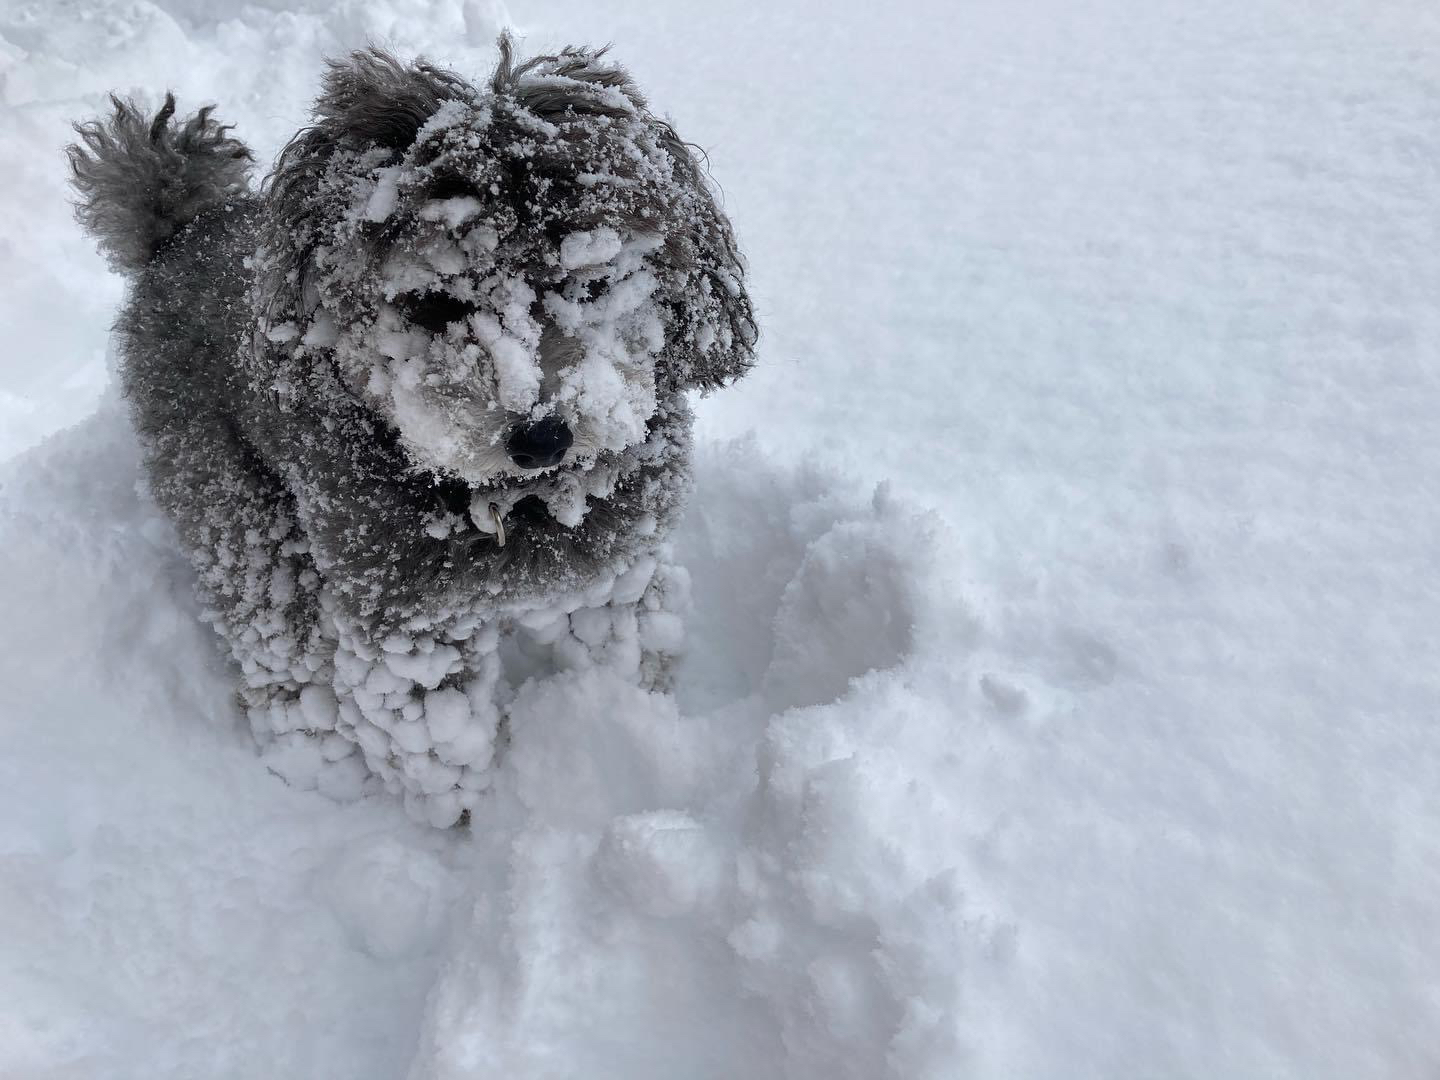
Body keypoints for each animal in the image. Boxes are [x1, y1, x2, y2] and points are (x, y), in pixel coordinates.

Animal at [66, 38, 754, 823]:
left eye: (593, 281)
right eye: (432, 303)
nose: (543, 439)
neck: (509, 502)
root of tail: (181, 230)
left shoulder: (615, 570)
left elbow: (632, 652)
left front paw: (620, 730)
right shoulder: (406, 632)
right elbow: (440, 756)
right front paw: (470, 828)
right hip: (233, 501)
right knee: (277, 632)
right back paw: (313, 754)